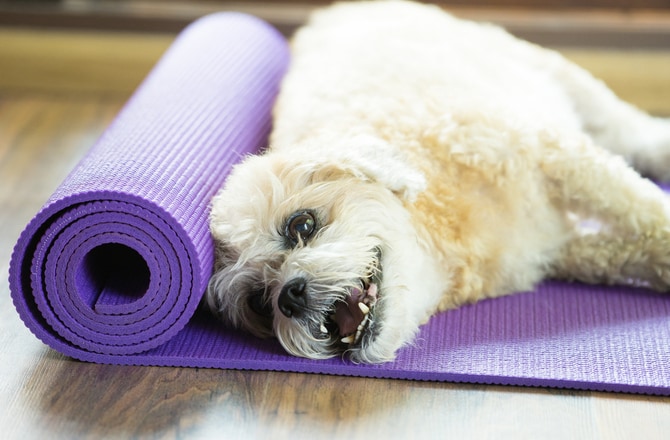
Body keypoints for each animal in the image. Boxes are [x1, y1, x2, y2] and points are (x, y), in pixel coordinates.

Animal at [206, 0, 670, 363]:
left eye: (301, 224)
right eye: (259, 302)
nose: (289, 295)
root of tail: (335, 11)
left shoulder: (555, 156)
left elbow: (645, 208)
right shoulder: (557, 251)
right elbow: (632, 253)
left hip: (549, 72)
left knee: (627, 128)